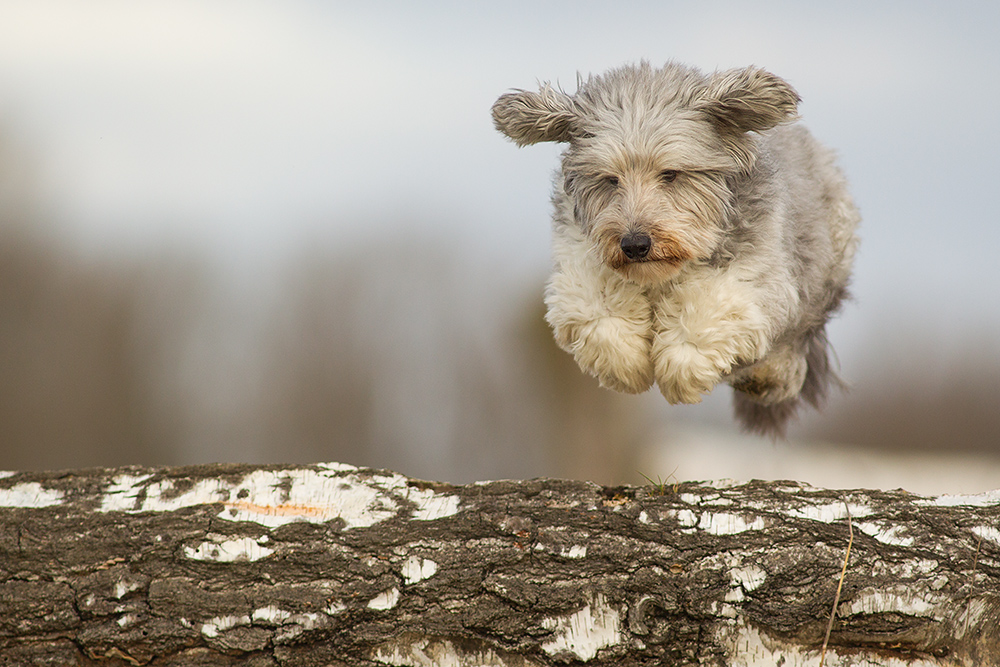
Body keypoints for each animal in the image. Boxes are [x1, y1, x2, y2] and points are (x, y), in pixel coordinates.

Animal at [492, 61, 860, 438]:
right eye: (611, 179)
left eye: (670, 174)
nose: (635, 244)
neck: (661, 276)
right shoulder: (578, 264)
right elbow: (600, 314)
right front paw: (627, 365)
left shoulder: (755, 277)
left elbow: (708, 314)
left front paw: (681, 369)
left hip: (818, 280)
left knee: (793, 343)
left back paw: (766, 376)